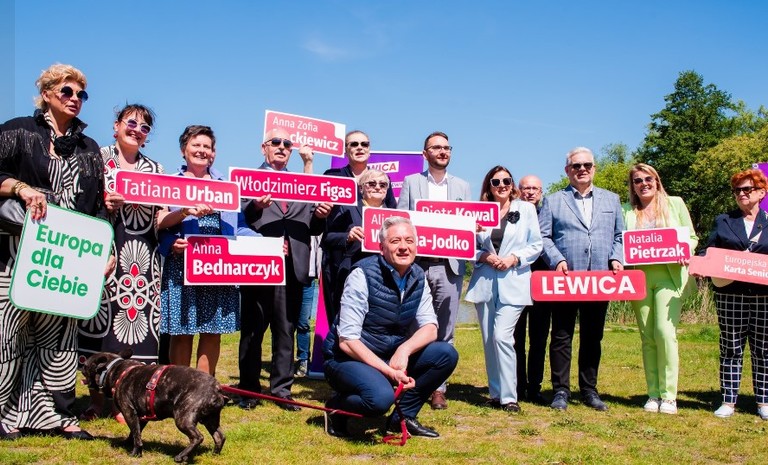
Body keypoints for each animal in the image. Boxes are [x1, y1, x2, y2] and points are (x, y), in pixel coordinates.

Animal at [82, 349, 227, 463]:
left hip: (183, 418)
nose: (81, 364)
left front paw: (135, 453)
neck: (114, 370)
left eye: (86, 365)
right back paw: (214, 454)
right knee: (219, 436)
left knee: (197, 437)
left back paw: (180, 456)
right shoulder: (141, 417)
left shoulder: (128, 411)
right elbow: (135, 432)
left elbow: (136, 435)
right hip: (210, 419)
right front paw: (127, 443)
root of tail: (215, 388)